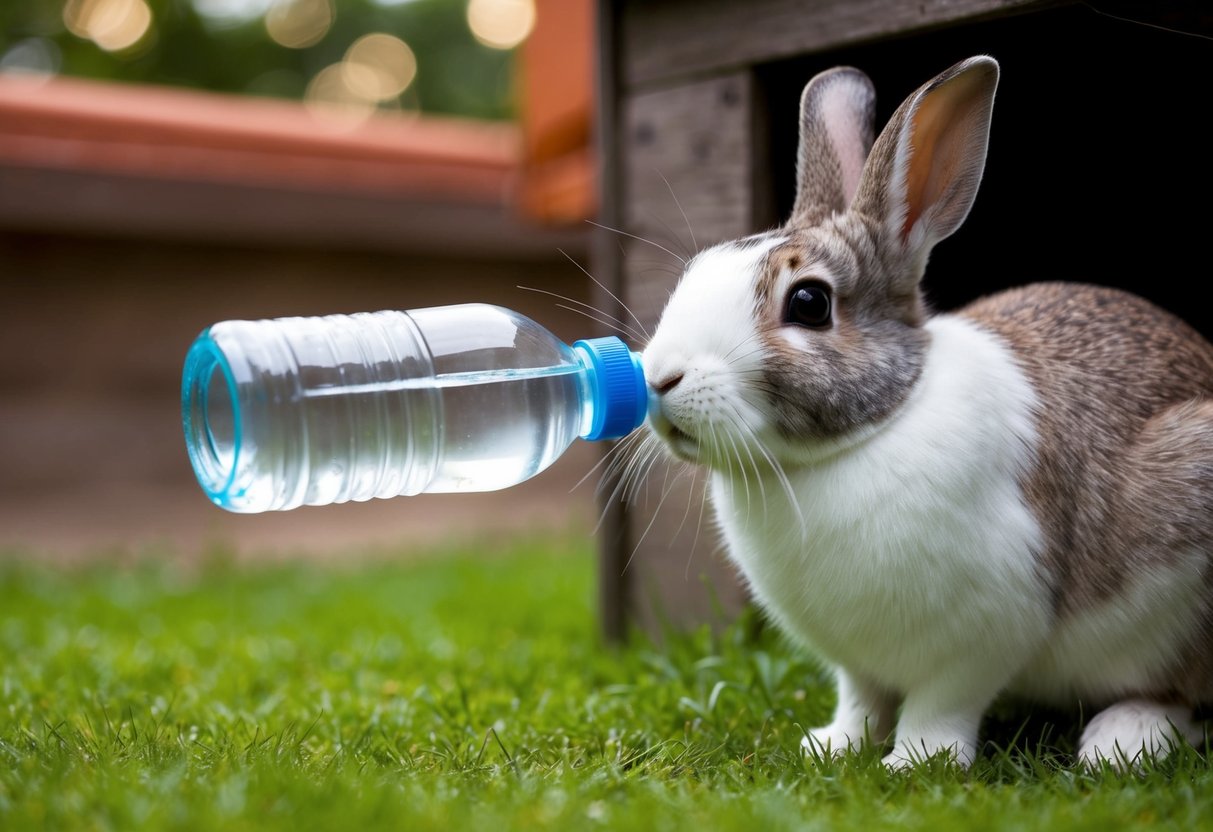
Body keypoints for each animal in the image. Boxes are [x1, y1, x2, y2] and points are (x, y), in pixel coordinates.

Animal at [641, 55, 1213, 769]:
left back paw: (1123, 738)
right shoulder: (857, 662)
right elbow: (861, 699)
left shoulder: (987, 629)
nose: (658, 377)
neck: (868, 432)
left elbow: (941, 705)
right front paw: (830, 747)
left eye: (809, 303)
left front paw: (914, 763)